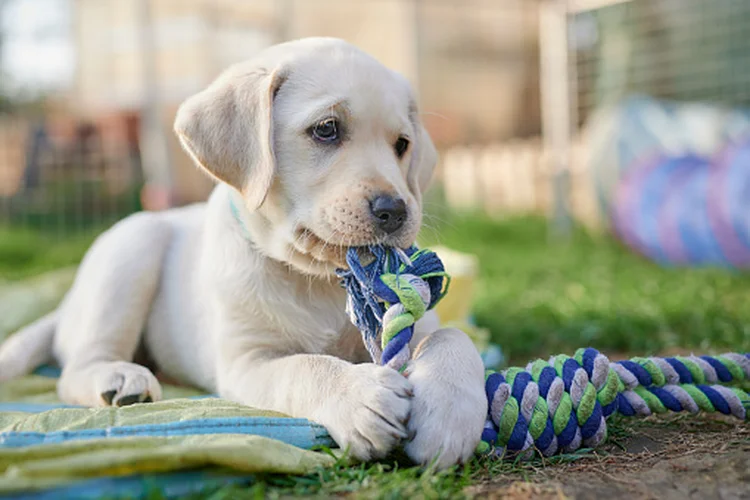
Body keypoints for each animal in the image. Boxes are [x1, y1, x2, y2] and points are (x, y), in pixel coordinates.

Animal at [0, 37, 490, 466]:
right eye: (327, 129)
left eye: (402, 145)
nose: (396, 210)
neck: (315, 279)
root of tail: (66, 307)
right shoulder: (245, 362)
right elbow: (304, 367)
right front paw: (360, 398)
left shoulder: (417, 324)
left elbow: (454, 336)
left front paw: (449, 414)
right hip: (132, 247)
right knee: (75, 368)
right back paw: (120, 378)